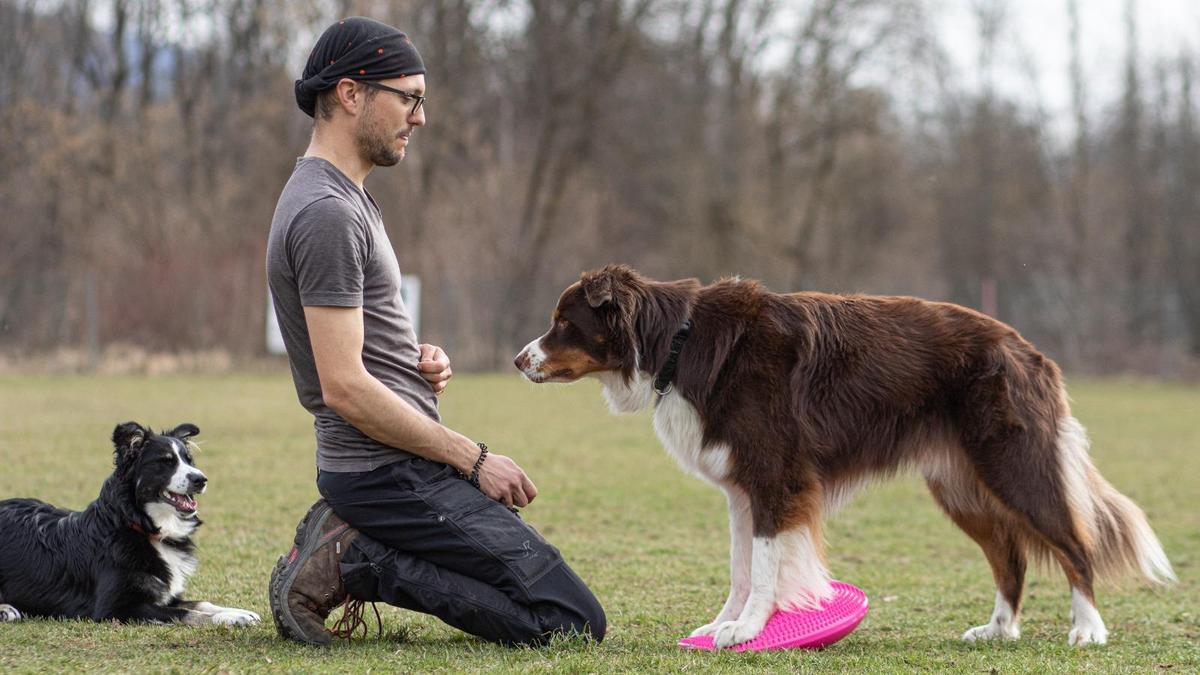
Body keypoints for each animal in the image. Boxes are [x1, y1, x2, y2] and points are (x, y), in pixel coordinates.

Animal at [0, 420, 260, 624]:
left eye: (189, 461)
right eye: (165, 462)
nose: (201, 479)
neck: (141, 525)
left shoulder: (166, 594)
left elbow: (201, 603)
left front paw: (238, 612)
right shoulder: (116, 608)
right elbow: (185, 613)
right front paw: (227, 618)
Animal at [513, 264, 1171, 648]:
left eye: (562, 321)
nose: (519, 360)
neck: (677, 341)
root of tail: (1029, 349)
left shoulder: (775, 479)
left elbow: (764, 567)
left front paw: (747, 630)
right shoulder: (743, 488)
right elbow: (741, 566)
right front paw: (727, 623)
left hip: (1014, 464)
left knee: (1075, 543)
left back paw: (1088, 630)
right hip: (959, 485)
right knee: (1010, 557)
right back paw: (998, 629)